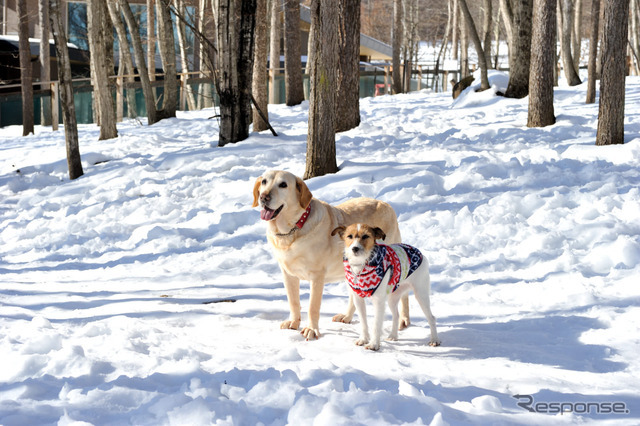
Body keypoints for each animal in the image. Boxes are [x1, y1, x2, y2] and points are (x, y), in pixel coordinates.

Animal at [250, 170, 410, 340]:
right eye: (264, 182)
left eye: (283, 185)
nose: (264, 197)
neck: (292, 231)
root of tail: (386, 204)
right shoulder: (288, 274)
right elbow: (293, 301)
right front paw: (293, 322)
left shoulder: (316, 276)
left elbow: (313, 306)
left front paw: (311, 329)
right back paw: (346, 317)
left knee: (404, 294)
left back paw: (404, 319)